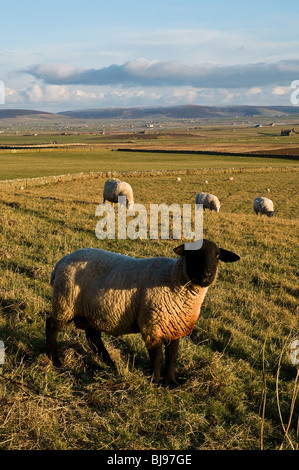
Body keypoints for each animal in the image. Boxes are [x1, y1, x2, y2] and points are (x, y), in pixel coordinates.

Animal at [46, 239, 239, 386]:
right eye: (194, 254)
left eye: (217, 256)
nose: (208, 275)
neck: (174, 279)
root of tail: (61, 262)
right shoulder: (151, 325)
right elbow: (157, 357)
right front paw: (155, 381)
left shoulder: (174, 326)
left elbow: (172, 356)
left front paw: (171, 382)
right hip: (65, 302)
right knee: (51, 326)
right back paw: (56, 361)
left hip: (90, 311)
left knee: (93, 338)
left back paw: (111, 364)